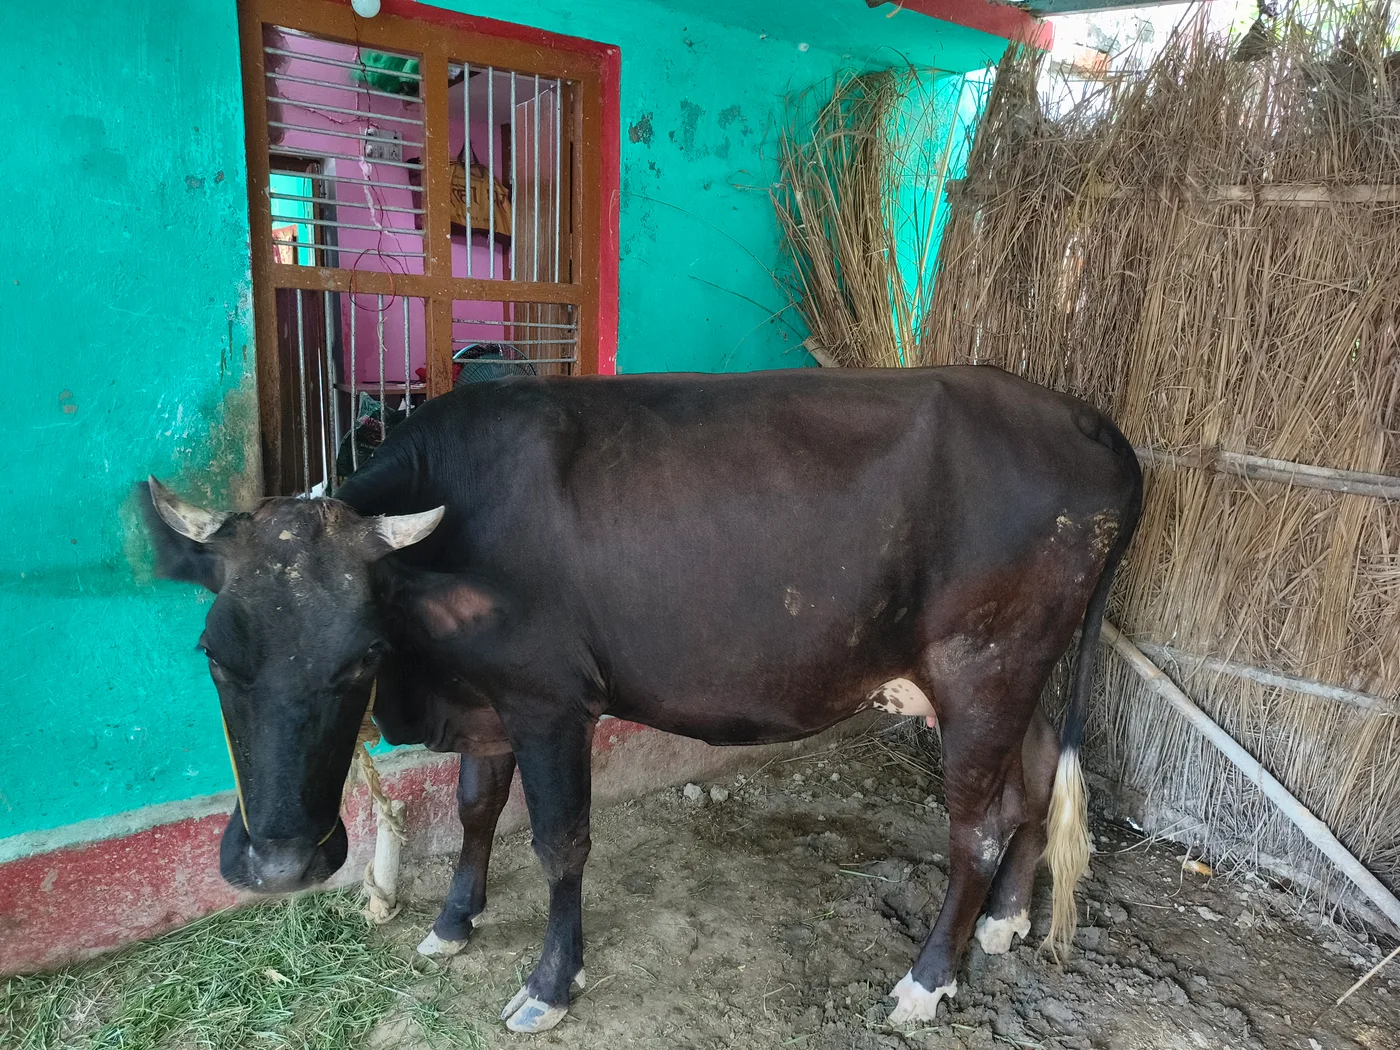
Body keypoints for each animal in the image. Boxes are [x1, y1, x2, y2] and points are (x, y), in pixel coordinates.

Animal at [142, 365, 1141, 1033]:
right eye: (213, 656)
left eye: (360, 659)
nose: (278, 865)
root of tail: (1080, 414)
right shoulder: (490, 703)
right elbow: (474, 810)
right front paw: (454, 922)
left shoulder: (551, 701)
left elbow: (559, 843)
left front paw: (549, 985)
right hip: (1017, 672)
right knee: (1035, 781)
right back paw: (1007, 920)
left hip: (985, 666)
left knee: (976, 825)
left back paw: (929, 979)